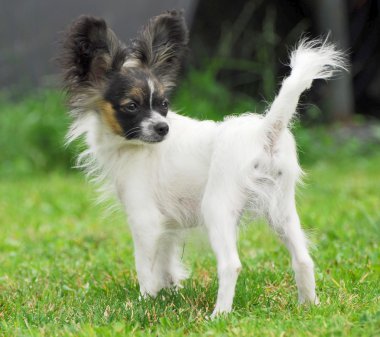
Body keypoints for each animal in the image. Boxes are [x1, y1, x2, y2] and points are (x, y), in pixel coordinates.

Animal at [60, 10, 348, 316]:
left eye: (163, 104)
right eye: (132, 106)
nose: (163, 128)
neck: (132, 147)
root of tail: (265, 130)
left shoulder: (144, 220)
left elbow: (146, 270)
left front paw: (143, 303)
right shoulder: (167, 225)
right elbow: (166, 263)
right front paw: (169, 293)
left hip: (217, 207)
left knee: (231, 264)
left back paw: (219, 315)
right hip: (282, 210)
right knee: (303, 259)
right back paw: (309, 306)